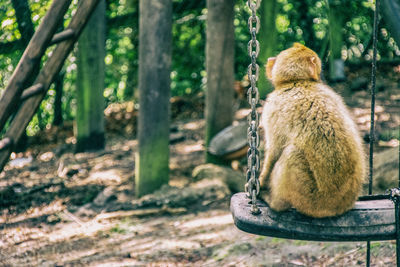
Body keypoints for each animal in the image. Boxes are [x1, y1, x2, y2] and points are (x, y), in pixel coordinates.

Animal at [260, 43, 366, 219]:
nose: (322, 76)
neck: (297, 81)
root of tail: (337, 207)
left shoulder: (273, 106)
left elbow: (274, 150)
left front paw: (259, 182)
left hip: (311, 198)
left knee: (291, 155)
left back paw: (275, 203)